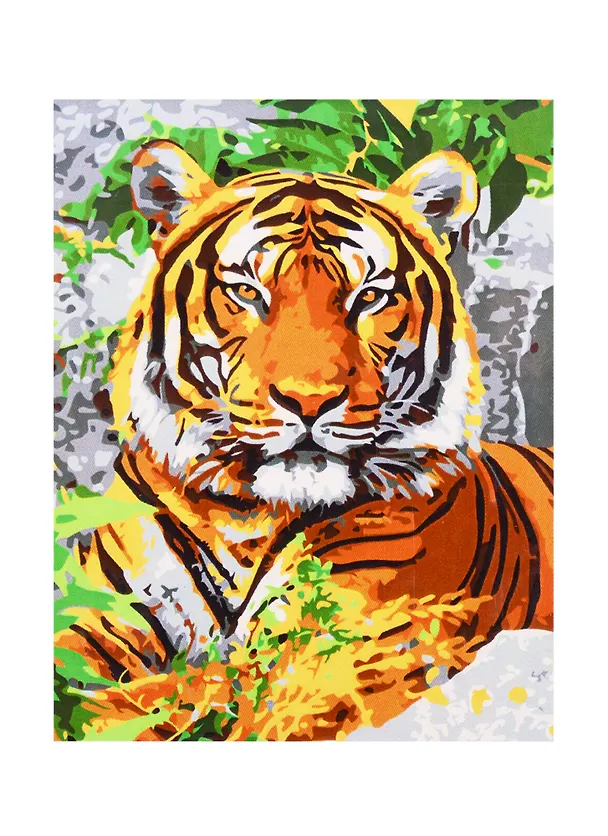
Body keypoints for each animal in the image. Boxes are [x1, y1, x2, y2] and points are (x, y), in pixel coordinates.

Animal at [55, 140, 553, 741]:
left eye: (369, 297)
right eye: (247, 292)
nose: (309, 401)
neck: (245, 521)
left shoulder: (341, 651)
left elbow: (181, 695)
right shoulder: (96, 618)